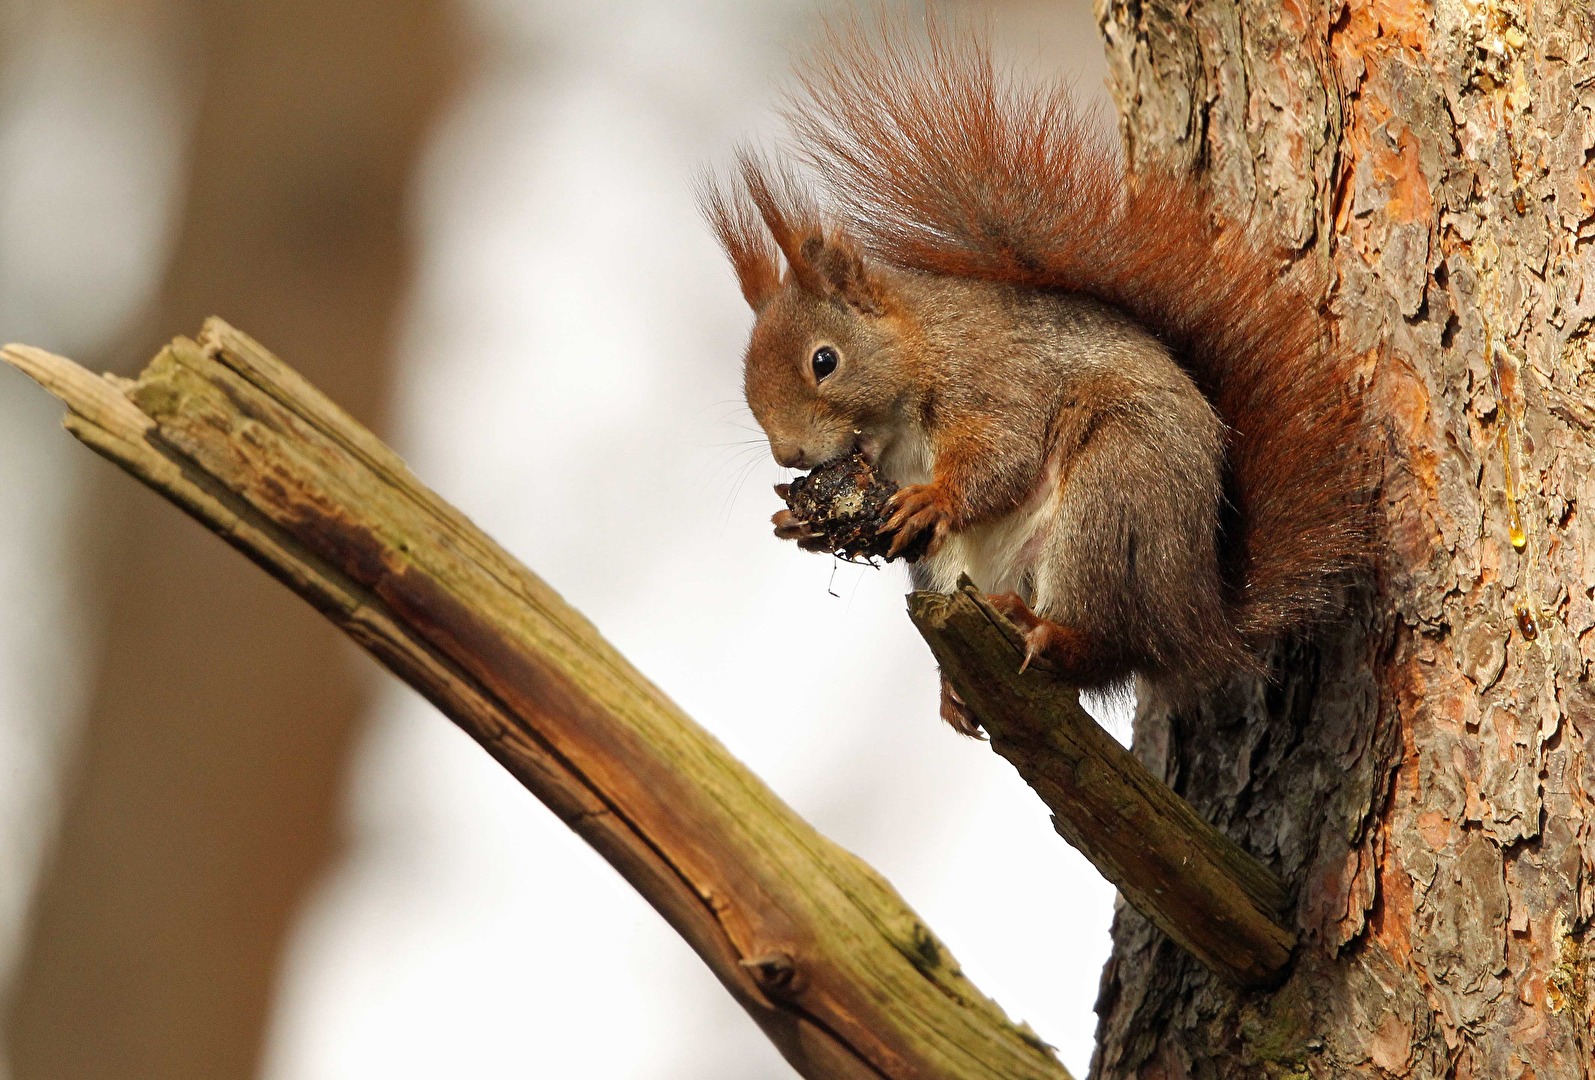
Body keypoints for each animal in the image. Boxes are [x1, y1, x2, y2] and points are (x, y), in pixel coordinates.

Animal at [704, 18, 1365, 733]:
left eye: (824, 361)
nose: (790, 454)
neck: (920, 354)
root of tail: (1198, 620)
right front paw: (796, 522)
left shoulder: (994, 376)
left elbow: (1006, 453)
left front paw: (937, 498)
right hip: (954, 567)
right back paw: (956, 690)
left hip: (1115, 500)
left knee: (1102, 648)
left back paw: (1048, 633)